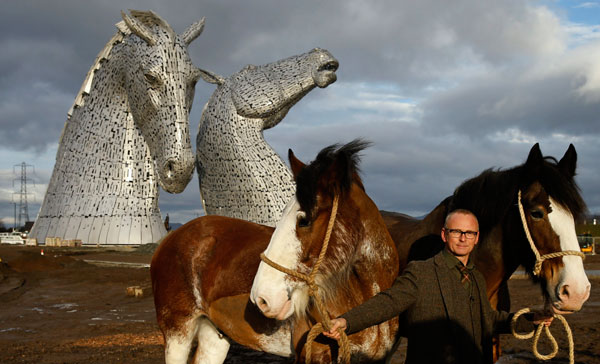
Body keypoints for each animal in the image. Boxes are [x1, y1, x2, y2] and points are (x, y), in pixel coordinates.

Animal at [152, 140, 400, 364]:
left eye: (304, 220)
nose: (261, 299)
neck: (365, 293)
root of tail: (171, 237)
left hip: (213, 335)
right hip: (178, 333)